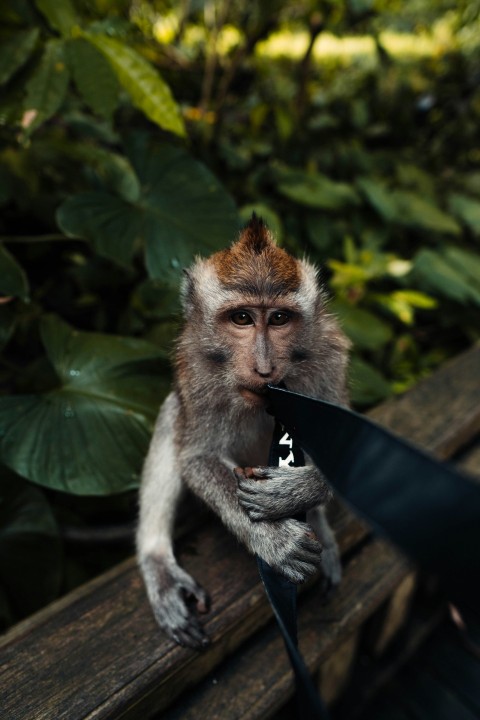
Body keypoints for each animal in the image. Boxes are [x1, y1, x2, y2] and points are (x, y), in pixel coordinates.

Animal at [136, 215, 350, 649]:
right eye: (242, 318)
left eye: (279, 319)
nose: (264, 368)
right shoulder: (197, 370)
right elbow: (197, 456)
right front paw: (275, 540)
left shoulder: (329, 361)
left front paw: (296, 492)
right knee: (172, 413)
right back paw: (156, 560)